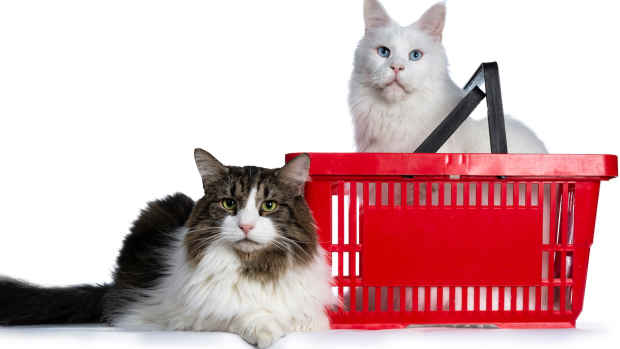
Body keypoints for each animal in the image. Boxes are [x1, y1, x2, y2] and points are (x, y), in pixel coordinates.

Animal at [0, 150, 336, 348]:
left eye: (269, 206)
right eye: (229, 204)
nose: (246, 226)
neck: (255, 268)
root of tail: (112, 287)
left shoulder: (312, 311)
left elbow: (307, 319)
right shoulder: (186, 316)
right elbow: (239, 314)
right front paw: (267, 330)